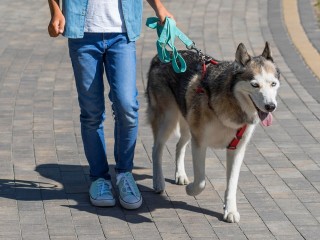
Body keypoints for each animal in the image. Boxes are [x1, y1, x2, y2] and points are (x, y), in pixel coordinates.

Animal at [146, 41, 278, 223]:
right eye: (255, 85)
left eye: (273, 84)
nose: (271, 106)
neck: (234, 103)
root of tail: (161, 56)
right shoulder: (200, 143)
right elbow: (201, 181)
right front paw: (190, 190)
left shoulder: (237, 149)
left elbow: (232, 184)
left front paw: (230, 210)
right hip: (168, 119)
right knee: (156, 148)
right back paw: (158, 182)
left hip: (187, 124)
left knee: (179, 145)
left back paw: (180, 175)